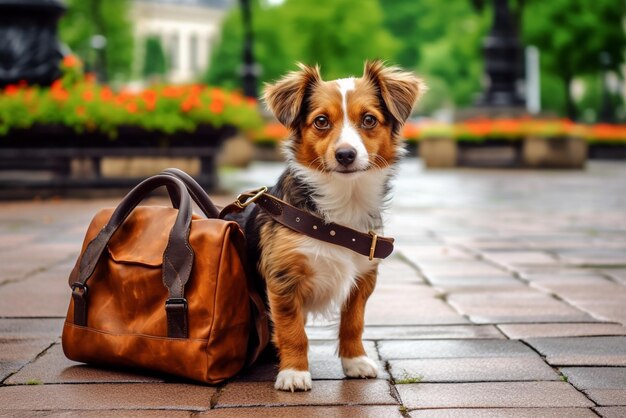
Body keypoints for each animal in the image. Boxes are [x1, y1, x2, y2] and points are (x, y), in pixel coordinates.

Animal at [241, 60, 422, 390]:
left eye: (368, 119)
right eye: (322, 121)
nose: (346, 154)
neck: (342, 205)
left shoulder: (363, 278)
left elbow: (353, 322)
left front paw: (355, 360)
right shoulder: (283, 279)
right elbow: (292, 331)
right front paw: (294, 372)